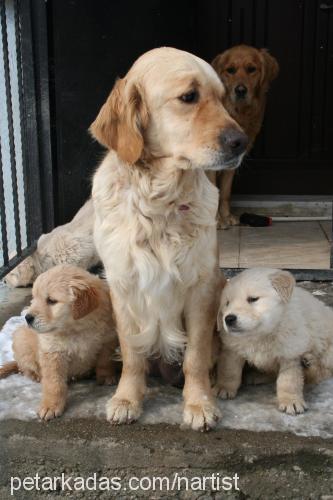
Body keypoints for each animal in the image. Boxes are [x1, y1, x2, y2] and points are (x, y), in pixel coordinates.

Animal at [0, 264, 117, 420]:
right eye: (34, 299)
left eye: (51, 301)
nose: (27, 318)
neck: (76, 328)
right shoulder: (52, 352)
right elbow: (53, 383)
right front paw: (51, 406)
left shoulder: (107, 339)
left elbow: (104, 361)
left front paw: (106, 377)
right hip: (21, 339)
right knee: (24, 367)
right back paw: (36, 375)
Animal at [89, 46, 248, 430]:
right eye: (188, 97)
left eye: (222, 97)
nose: (242, 142)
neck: (159, 200)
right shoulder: (122, 284)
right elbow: (133, 354)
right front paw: (126, 399)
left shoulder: (202, 288)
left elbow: (196, 356)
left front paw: (199, 404)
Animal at [211, 45, 278, 229]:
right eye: (230, 70)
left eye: (251, 69)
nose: (240, 90)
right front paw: (216, 220)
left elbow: (225, 192)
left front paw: (226, 216)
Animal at [214, 268, 332, 416]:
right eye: (227, 303)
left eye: (253, 299)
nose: (229, 319)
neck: (261, 335)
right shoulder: (232, 349)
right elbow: (229, 370)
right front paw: (223, 387)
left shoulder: (290, 352)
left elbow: (288, 380)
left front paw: (290, 401)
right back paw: (257, 376)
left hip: (328, 351)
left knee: (322, 372)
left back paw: (308, 364)